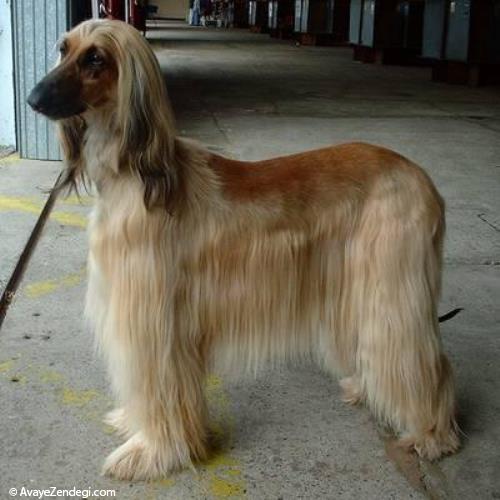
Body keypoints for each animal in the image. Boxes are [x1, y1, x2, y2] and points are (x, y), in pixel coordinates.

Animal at [26, 19, 458, 480]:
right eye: (63, 48)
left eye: (96, 58)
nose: (33, 99)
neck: (138, 175)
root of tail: (423, 178)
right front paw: (133, 422)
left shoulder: (154, 319)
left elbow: (158, 387)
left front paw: (153, 451)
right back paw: (364, 387)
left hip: (393, 287)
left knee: (425, 362)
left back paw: (432, 434)